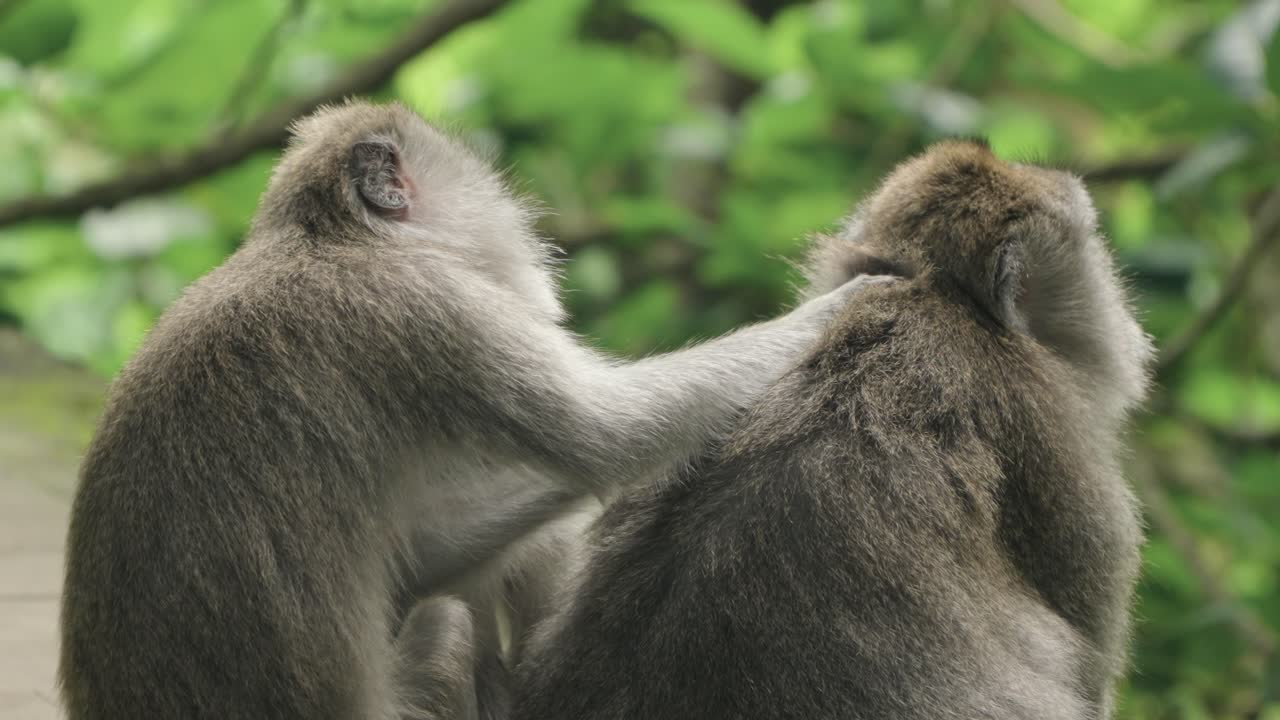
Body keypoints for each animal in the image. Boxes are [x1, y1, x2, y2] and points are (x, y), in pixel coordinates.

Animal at [57, 100, 880, 720]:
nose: (516, 207)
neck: (328, 240)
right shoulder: (430, 309)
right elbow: (605, 437)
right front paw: (843, 303)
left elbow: (429, 549)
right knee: (449, 620)